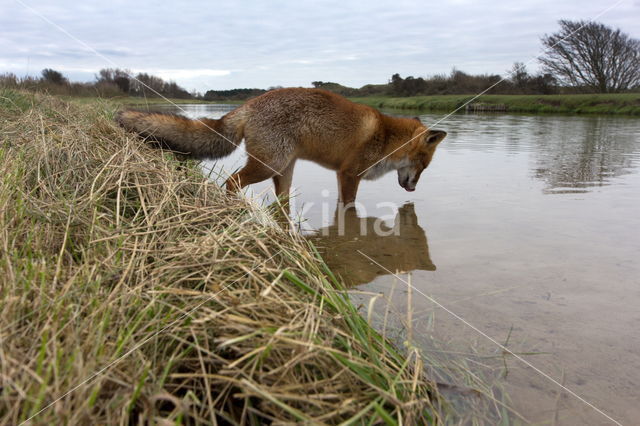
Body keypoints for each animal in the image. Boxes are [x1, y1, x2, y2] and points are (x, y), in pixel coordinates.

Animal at [116, 87, 444, 204]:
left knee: (282, 201)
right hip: (268, 164)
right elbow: (349, 208)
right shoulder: (349, 174)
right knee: (231, 182)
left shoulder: (344, 176)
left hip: (284, 170)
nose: (413, 189)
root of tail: (251, 103)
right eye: (423, 165)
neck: (387, 137)